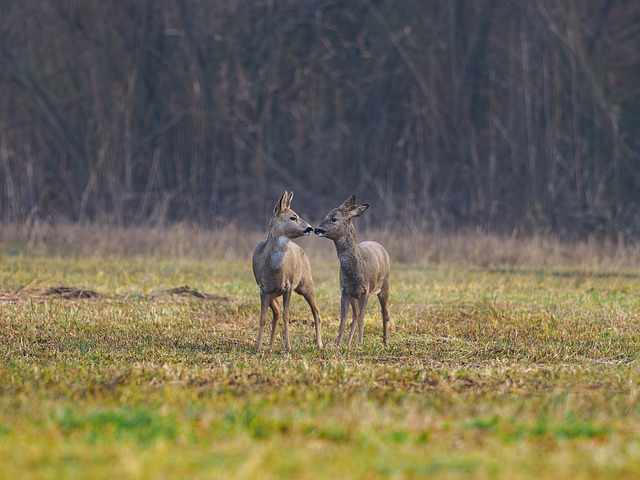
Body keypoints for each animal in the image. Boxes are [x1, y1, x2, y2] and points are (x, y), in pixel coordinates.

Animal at [252, 190, 323, 352]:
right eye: (293, 217)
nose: (310, 228)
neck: (274, 269)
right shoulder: (263, 289)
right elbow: (263, 318)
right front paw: (258, 347)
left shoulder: (288, 286)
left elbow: (286, 316)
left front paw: (287, 346)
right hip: (273, 294)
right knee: (276, 313)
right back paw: (270, 345)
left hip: (307, 283)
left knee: (316, 310)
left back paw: (319, 344)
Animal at [314, 195, 390, 348]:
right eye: (326, 215)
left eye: (334, 218)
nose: (316, 229)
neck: (354, 272)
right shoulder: (345, 291)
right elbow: (343, 319)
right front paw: (338, 345)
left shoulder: (365, 290)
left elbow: (362, 317)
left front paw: (360, 343)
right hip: (354, 296)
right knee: (354, 316)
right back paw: (348, 344)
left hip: (385, 285)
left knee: (384, 312)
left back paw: (385, 342)